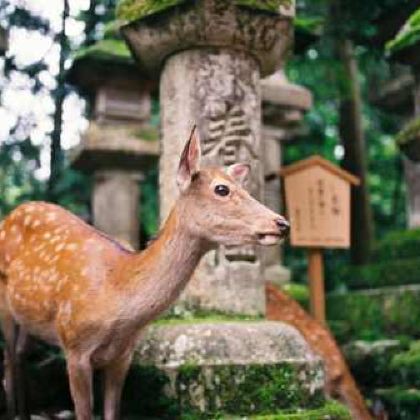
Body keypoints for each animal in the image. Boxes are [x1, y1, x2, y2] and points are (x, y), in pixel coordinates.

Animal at [0, 128, 288, 420]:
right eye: (222, 189)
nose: (282, 223)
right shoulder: (74, 346)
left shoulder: (123, 355)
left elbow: (112, 413)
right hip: (5, 304)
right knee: (9, 359)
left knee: (20, 355)